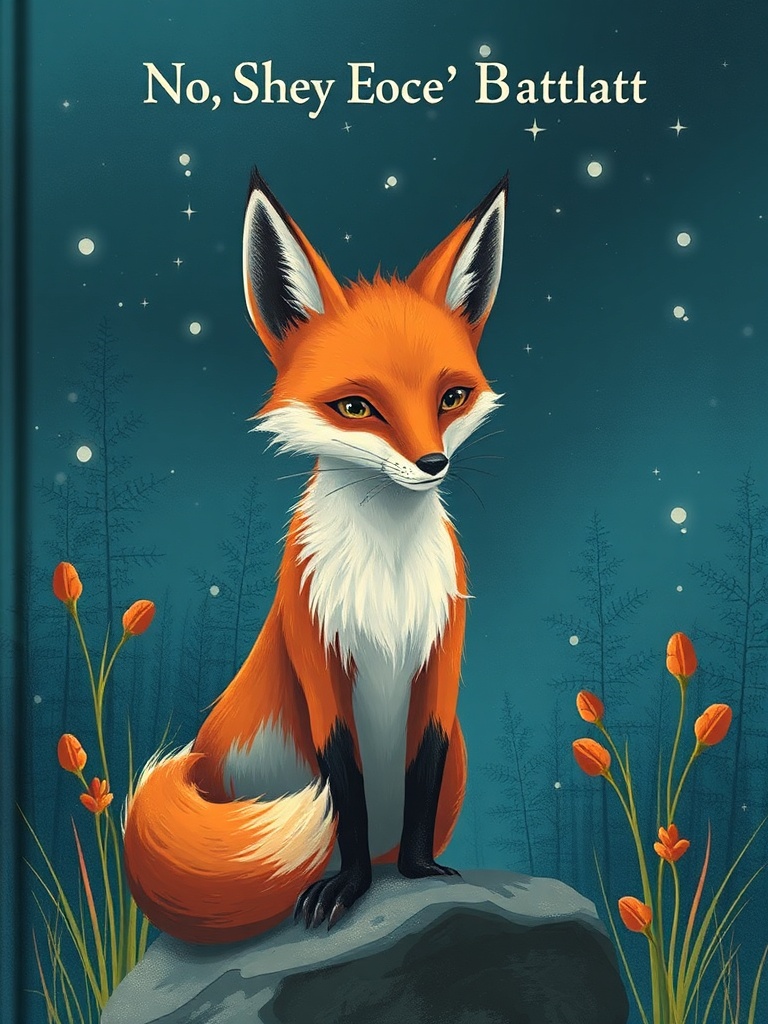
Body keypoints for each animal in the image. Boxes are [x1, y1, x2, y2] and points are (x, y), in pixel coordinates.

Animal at [123, 168, 507, 944]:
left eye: (451, 397)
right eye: (357, 407)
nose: (432, 464)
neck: (388, 571)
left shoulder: (441, 656)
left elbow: (420, 775)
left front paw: (419, 872)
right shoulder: (318, 655)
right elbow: (344, 790)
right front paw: (349, 887)